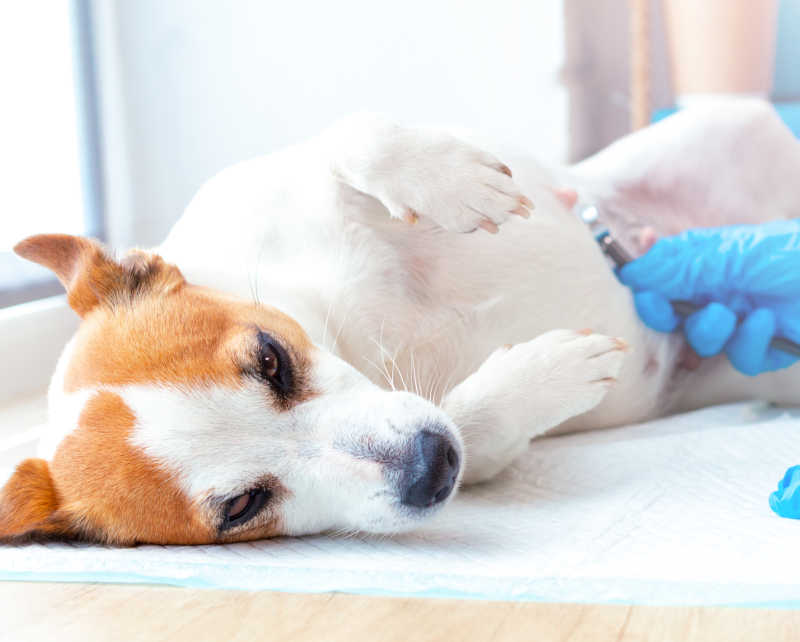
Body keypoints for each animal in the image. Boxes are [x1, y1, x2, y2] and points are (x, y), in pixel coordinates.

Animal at [4, 97, 800, 544]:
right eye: (241, 505)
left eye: (270, 357)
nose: (431, 466)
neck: (351, 329)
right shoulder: (475, 450)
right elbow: (475, 423)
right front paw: (544, 376)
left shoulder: (270, 180)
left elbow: (352, 133)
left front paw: (453, 181)